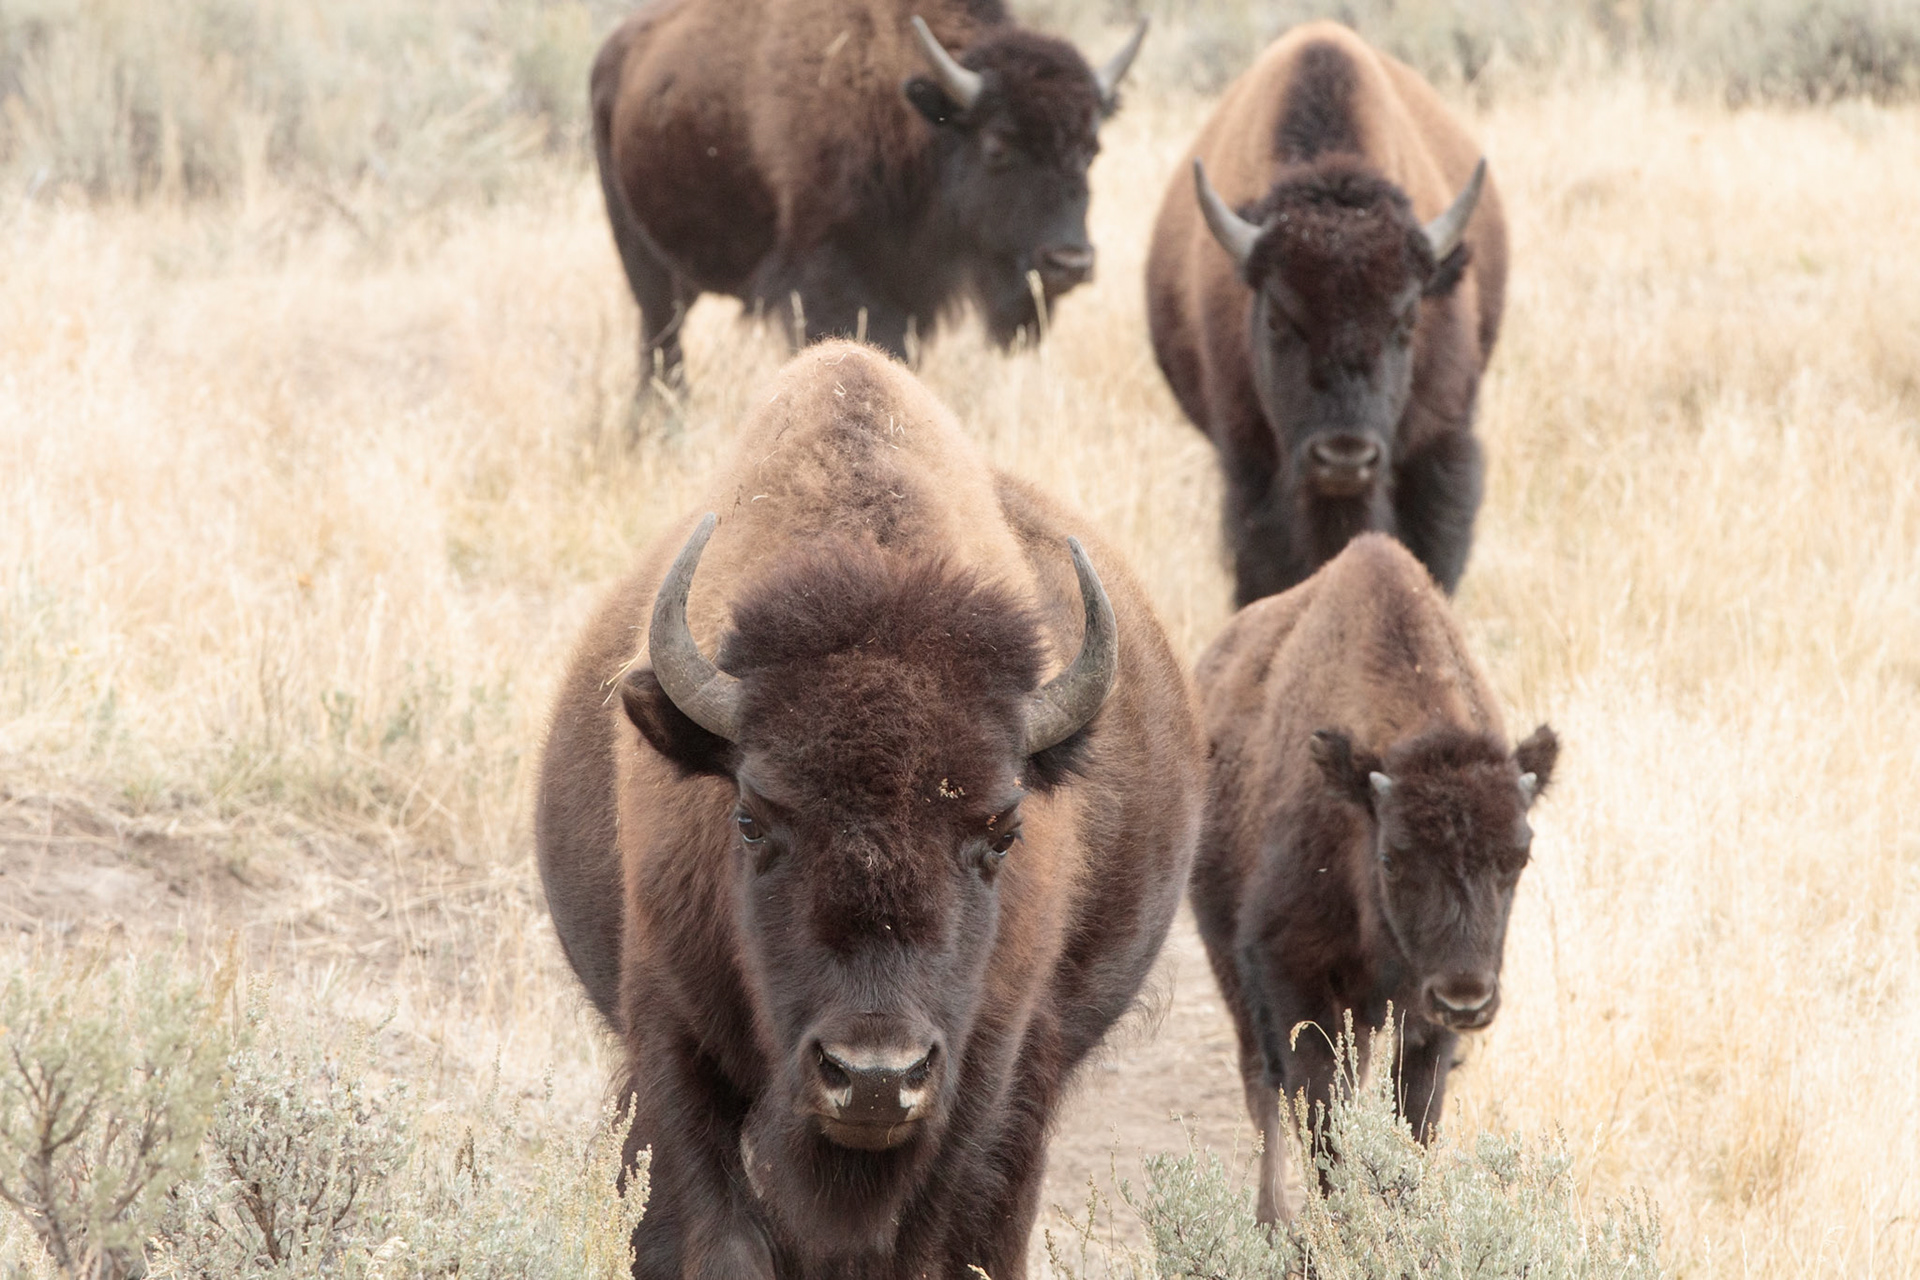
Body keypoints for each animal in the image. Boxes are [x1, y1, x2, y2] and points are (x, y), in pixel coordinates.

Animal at [535, 342, 1202, 1277]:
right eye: (751, 819)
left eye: (1003, 831)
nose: (875, 1075)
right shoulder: (669, 1034)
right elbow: (715, 1228)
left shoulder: (983, 1071)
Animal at [591, 0, 1147, 394]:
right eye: (997, 146)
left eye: (1092, 149)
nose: (1069, 263)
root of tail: (615, 53)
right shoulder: (828, 285)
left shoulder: (912, 290)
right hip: (642, 259)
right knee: (662, 341)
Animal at [1190, 534, 1557, 1223]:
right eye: (1393, 857)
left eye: (1518, 857)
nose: (1466, 999)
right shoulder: (1291, 977)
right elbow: (1318, 1120)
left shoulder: (1421, 1024)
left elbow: (1413, 1123)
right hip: (1233, 966)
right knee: (1263, 1089)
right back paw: (1272, 1222)